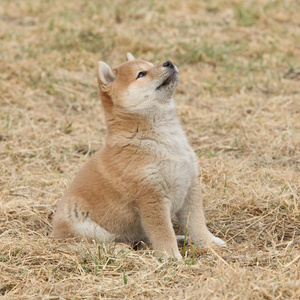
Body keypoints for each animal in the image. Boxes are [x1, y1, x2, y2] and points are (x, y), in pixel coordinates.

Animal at [52, 52, 226, 258]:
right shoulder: (151, 197)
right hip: (86, 227)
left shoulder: (190, 185)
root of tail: (54, 236)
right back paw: (121, 249)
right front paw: (172, 257)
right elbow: (163, 232)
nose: (168, 62)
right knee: (99, 244)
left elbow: (196, 223)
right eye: (141, 74)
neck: (165, 138)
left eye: (152, 64)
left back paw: (179, 240)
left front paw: (209, 242)